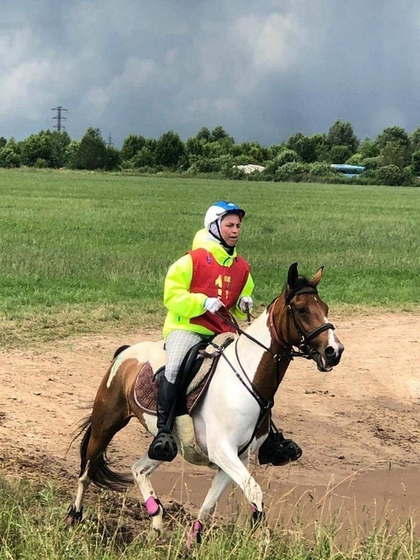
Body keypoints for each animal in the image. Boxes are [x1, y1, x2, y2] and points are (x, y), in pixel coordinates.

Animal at [67, 262, 344, 548]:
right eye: (301, 309)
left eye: (325, 309)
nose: (334, 351)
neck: (247, 379)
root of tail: (124, 352)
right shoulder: (222, 450)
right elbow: (254, 493)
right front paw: (261, 540)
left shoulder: (236, 457)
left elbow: (209, 507)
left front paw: (191, 543)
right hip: (106, 424)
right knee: (86, 472)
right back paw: (74, 517)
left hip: (165, 448)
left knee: (139, 470)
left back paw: (156, 522)